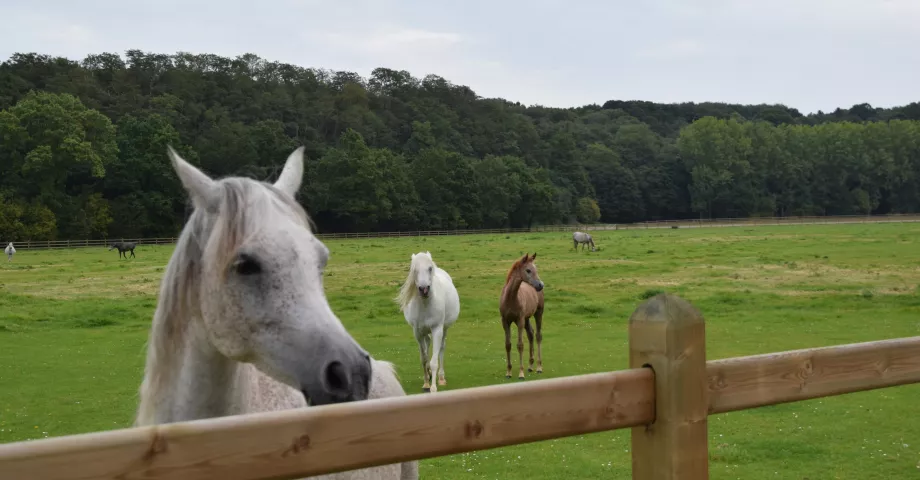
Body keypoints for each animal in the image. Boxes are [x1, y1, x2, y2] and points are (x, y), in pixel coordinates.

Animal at [395, 251, 460, 393]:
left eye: (430, 268)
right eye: (414, 270)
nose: (424, 289)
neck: (425, 304)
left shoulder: (437, 329)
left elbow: (434, 360)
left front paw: (434, 387)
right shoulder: (418, 332)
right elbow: (424, 359)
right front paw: (426, 383)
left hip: (444, 329)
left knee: (441, 348)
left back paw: (441, 378)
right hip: (425, 332)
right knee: (428, 344)